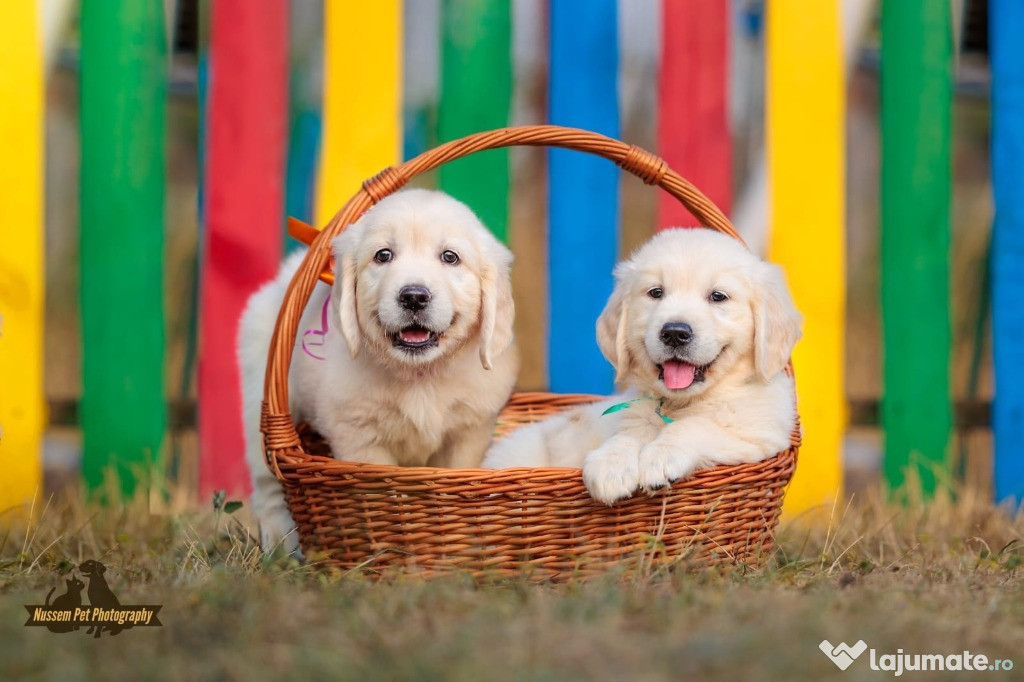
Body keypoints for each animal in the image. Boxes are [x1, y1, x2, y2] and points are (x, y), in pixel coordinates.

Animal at [241, 188, 520, 548]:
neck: (419, 375)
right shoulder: (360, 439)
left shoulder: (469, 432)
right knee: (267, 486)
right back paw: (280, 544)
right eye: (383, 255)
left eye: (450, 257)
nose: (414, 296)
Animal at [483, 228, 802, 503]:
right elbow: (625, 437)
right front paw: (609, 466)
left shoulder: (758, 436)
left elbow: (695, 426)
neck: (678, 404)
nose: (674, 332)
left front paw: (660, 457)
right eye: (656, 292)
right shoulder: (629, 418)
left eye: (718, 296)